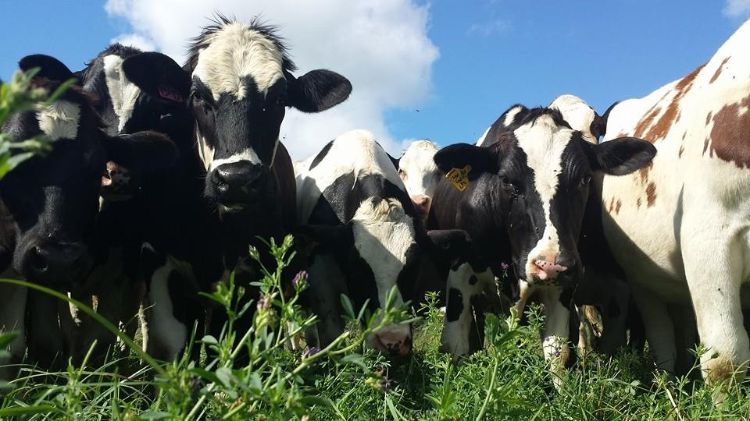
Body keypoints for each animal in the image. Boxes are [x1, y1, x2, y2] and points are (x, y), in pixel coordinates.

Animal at [429, 105, 655, 384]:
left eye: (584, 179)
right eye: (507, 181)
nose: (548, 264)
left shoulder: (563, 284)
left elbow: (557, 351)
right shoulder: (461, 271)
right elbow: (454, 346)